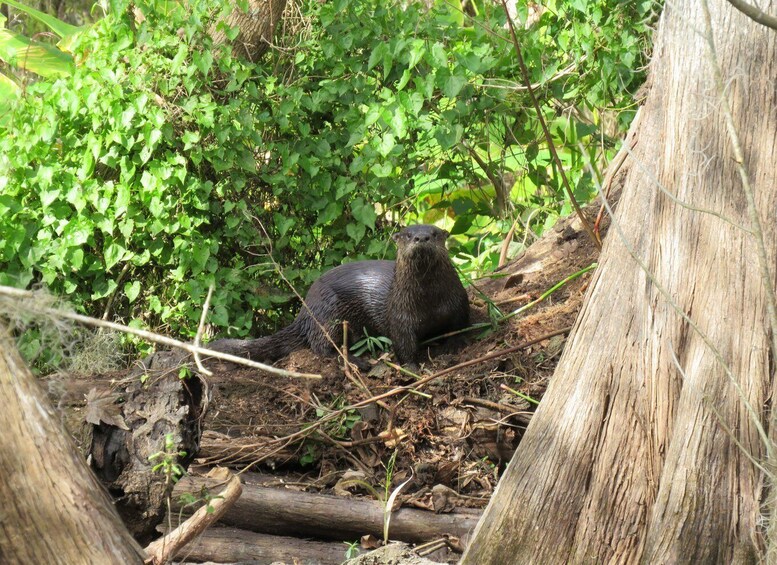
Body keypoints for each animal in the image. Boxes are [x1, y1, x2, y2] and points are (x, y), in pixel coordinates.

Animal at [206, 226, 470, 366]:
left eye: (434, 233)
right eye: (406, 234)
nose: (420, 237)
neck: (429, 303)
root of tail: (305, 311)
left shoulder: (459, 304)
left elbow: (461, 326)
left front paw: (455, 345)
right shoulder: (400, 316)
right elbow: (404, 344)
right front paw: (412, 366)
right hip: (329, 314)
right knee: (324, 347)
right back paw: (358, 360)